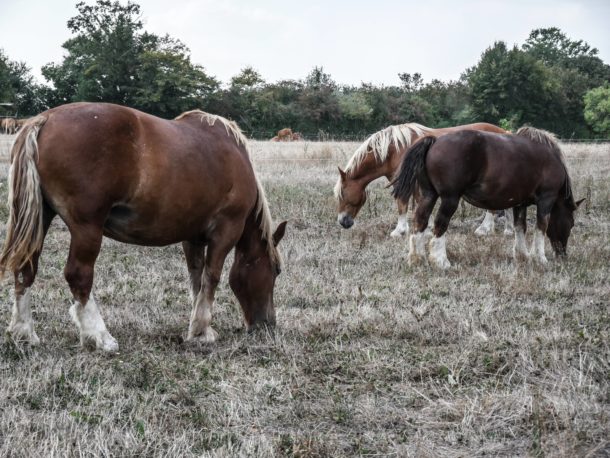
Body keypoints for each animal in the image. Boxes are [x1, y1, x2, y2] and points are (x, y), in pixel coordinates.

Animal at [0, 102, 288, 352]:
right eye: (276, 271)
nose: (268, 324)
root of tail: (44, 120)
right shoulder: (225, 232)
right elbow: (211, 278)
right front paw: (202, 331)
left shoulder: (192, 238)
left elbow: (196, 279)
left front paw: (196, 325)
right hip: (86, 229)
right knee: (78, 275)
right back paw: (100, 336)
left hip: (41, 218)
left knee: (25, 269)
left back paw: (24, 332)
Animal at [334, 122, 512, 237]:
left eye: (342, 195)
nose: (342, 222)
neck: (394, 150)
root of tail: (505, 133)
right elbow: (420, 202)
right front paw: (427, 226)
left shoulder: (406, 182)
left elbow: (402, 203)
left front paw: (399, 230)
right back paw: (508, 230)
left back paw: (485, 229)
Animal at [391, 127, 584, 269]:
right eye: (571, 223)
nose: (562, 254)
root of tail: (435, 141)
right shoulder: (546, 200)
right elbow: (541, 228)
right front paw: (540, 258)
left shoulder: (520, 202)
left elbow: (520, 227)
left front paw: (523, 255)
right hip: (449, 199)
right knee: (440, 224)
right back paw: (441, 261)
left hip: (428, 195)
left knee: (420, 221)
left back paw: (417, 258)